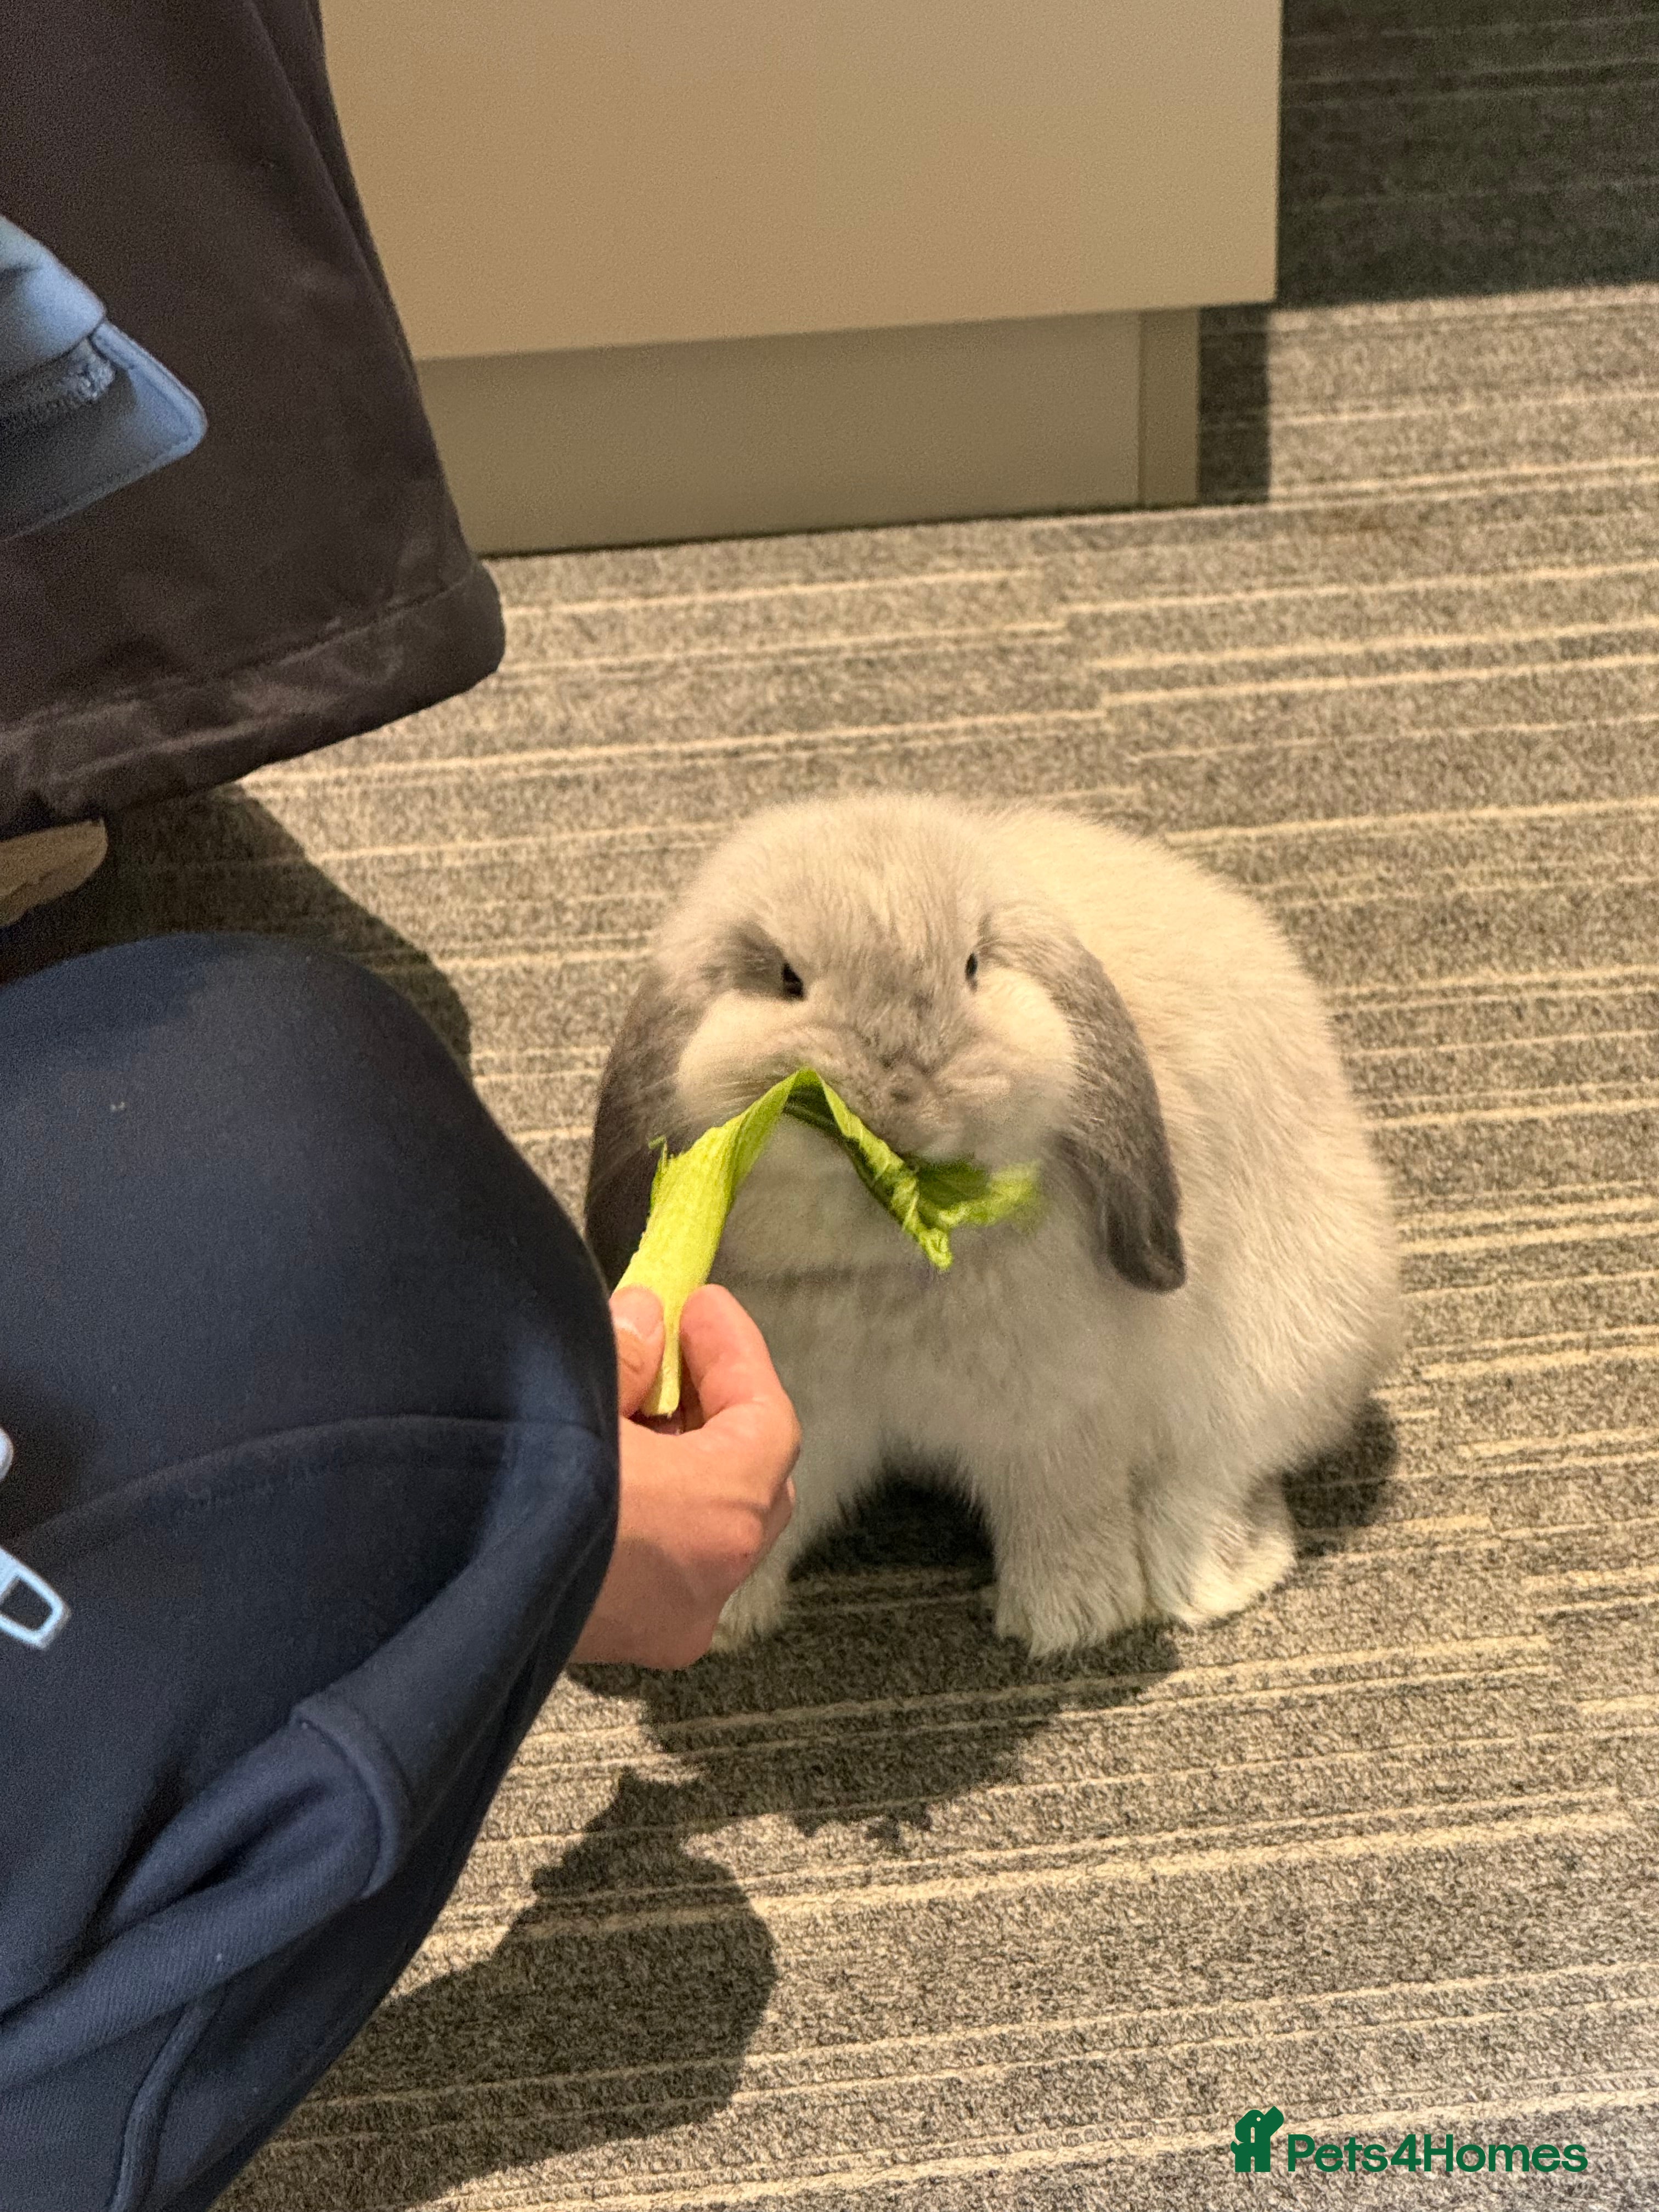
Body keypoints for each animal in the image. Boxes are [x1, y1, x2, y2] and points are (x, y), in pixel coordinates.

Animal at [584, 793, 1402, 1658]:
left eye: (974, 967)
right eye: (786, 979)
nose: (902, 1100)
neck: (889, 1269)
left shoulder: (1056, 1425)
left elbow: (1065, 1512)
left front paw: (1070, 1621)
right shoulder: (812, 1416)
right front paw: (717, 1618)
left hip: (1282, 1359)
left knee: (1210, 1479)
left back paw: (1208, 1581)